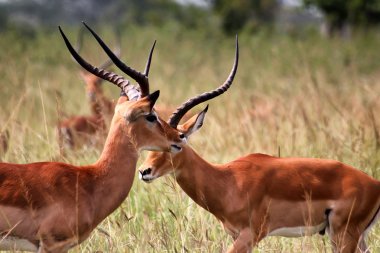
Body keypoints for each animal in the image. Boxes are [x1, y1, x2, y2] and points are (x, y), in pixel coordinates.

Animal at [139, 36, 380, 252]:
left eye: (177, 142)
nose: (144, 171)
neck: (227, 181)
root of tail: (374, 185)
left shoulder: (250, 235)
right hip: (354, 237)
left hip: (343, 235)